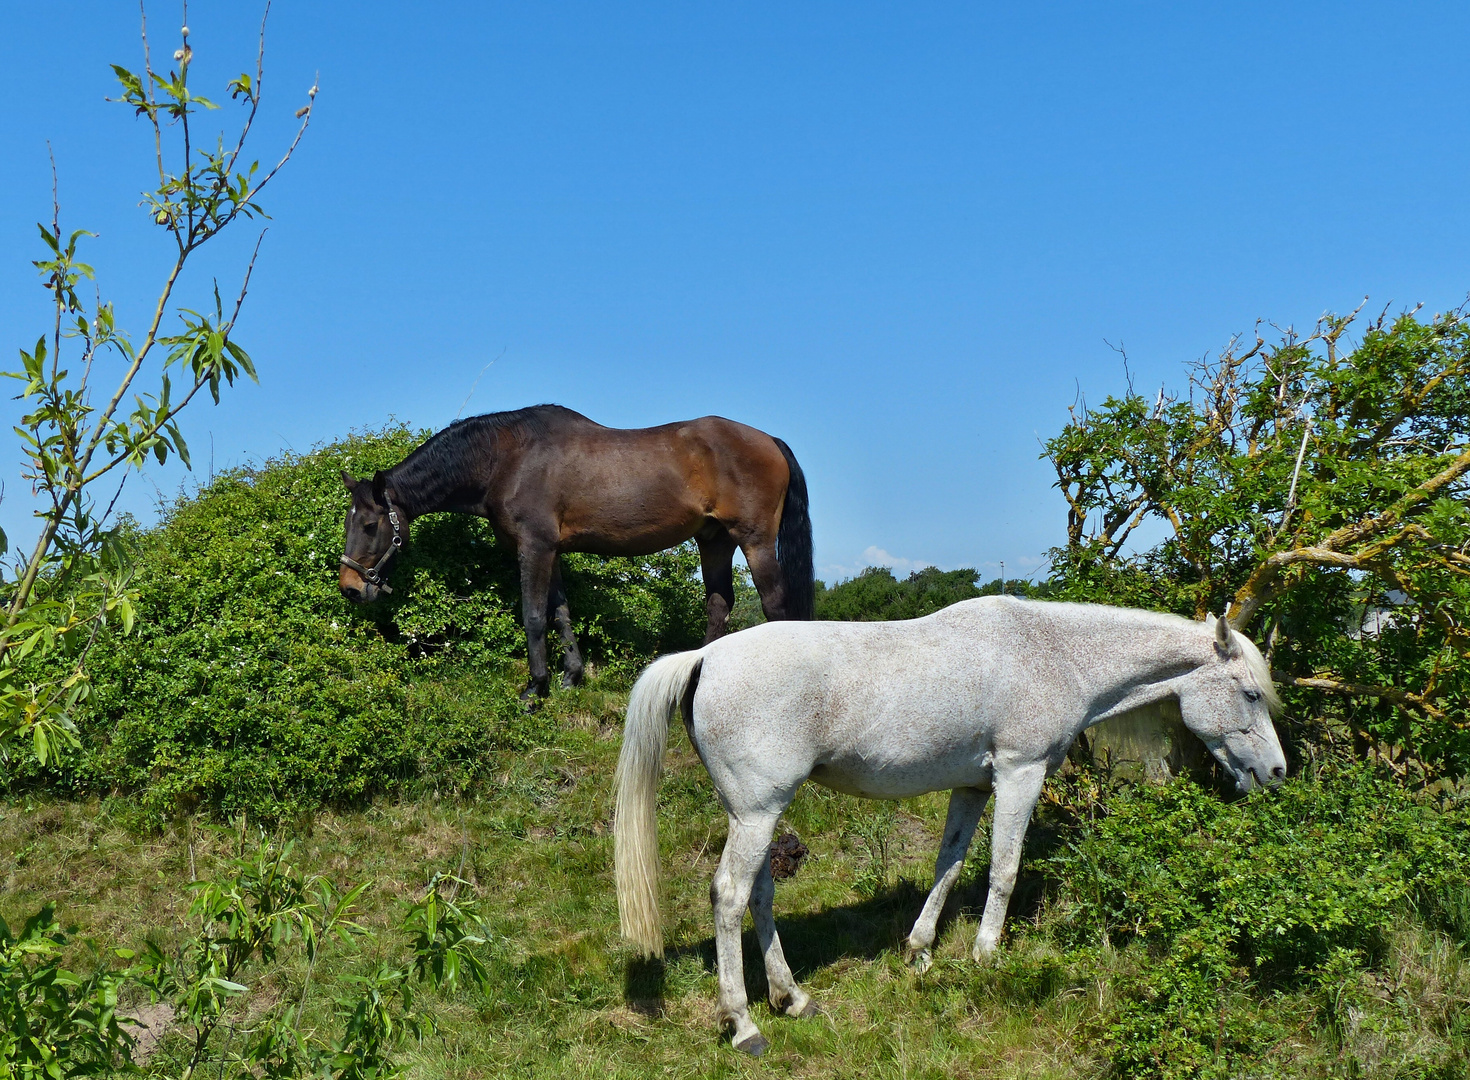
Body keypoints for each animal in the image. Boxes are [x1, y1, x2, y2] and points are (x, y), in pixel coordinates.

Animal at [336, 405, 817, 702]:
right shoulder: (553, 551)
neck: (505, 457)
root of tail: (769, 440)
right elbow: (561, 613)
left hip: (754, 540)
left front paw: (536, 688)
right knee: (719, 604)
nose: (351, 588)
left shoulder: (534, 547)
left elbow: (533, 615)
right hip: (714, 540)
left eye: (370, 525)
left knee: (775, 606)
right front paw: (570, 676)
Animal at [614, 596, 1281, 1052]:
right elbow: (1003, 870)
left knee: (759, 894)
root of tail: (705, 658)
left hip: (758, 815)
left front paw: (920, 952)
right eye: (1251, 693)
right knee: (729, 896)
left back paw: (793, 998)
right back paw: (745, 1024)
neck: (1053, 655)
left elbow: (951, 864)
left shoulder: (971, 787)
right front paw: (986, 956)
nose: (1275, 771)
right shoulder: (1019, 774)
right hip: (756, 813)